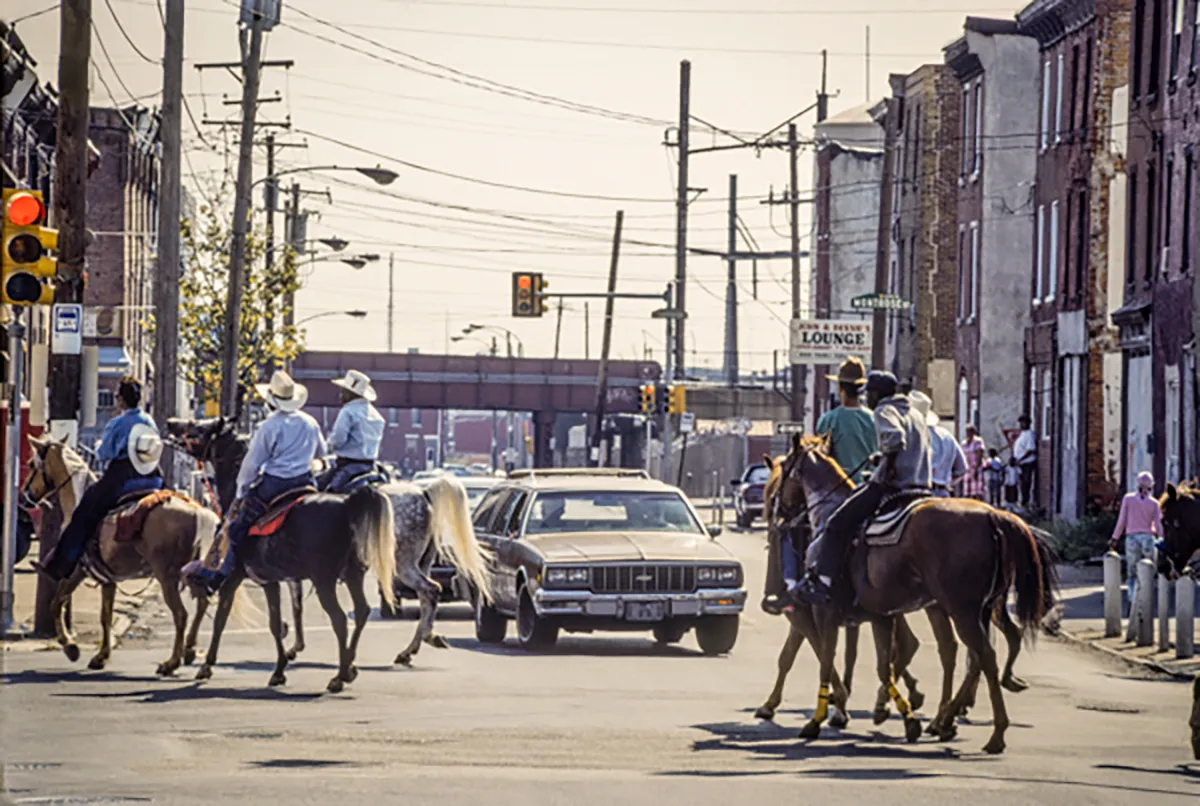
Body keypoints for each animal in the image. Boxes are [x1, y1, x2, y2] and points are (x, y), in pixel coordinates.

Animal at [18, 434, 220, 671]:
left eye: (32, 464)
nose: (23, 497)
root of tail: (199, 512)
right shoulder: (108, 579)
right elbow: (105, 616)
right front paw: (101, 656)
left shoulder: (77, 571)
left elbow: (56, 603)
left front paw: (70, 647)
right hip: (193, 574)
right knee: (202, 605)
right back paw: (189, 650)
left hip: (167, 576)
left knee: (181, 614)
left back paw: (171, 662)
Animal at [772, 431, 1056, 753]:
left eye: (784, 470)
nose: (776, 509)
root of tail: (991, 515)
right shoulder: (880, 615)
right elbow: (883, 665)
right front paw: (903, 716)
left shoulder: (826, 611)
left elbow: (826, 658)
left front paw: (818, 718)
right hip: (976, 610)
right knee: (971, 656)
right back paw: (947, 719)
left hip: (961, 610)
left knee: (982, 655)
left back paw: (991, 731)